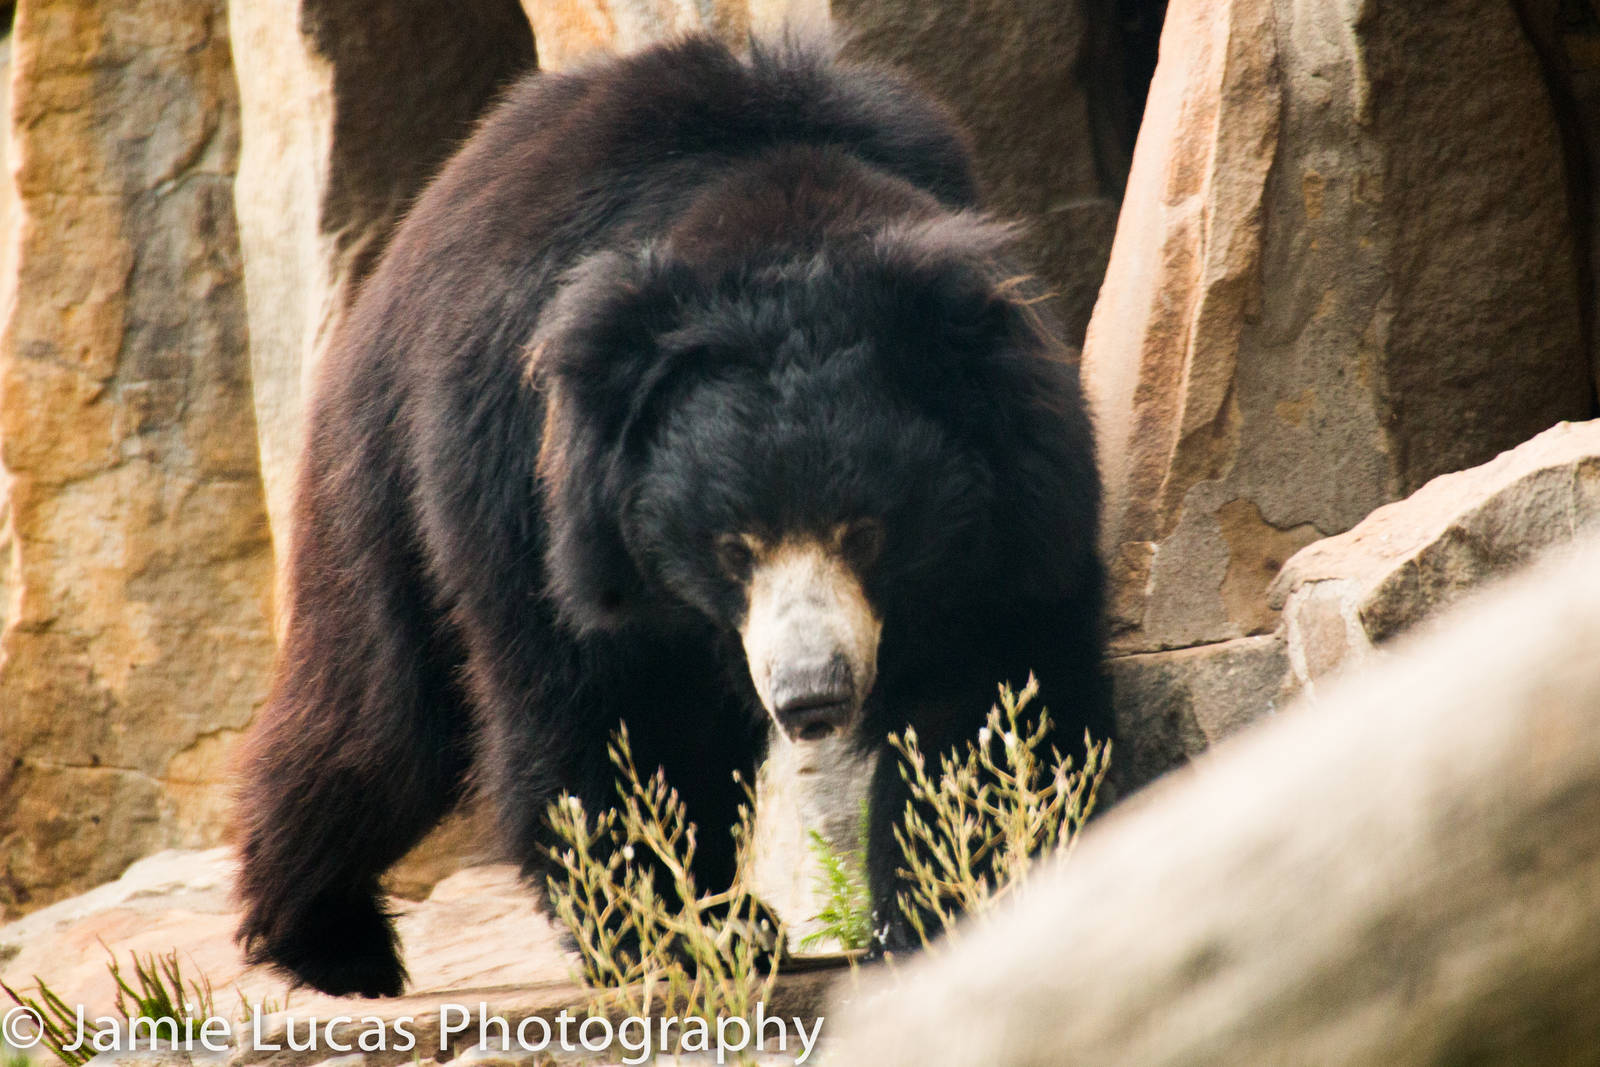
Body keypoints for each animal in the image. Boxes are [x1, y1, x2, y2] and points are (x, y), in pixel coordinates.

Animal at [233, 33, 1113, 998]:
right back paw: (333, 942)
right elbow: (613, 710)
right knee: (380, 717)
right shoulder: (543, 493)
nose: (811, 695)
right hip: (385, 462)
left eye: (867, 532)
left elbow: (987, 693)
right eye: (734, 547)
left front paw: (957, 899)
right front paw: (681, 931)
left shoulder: (1010, 499)